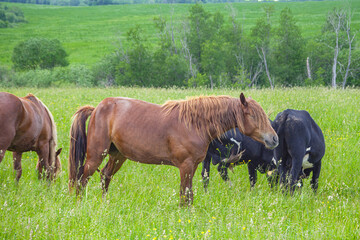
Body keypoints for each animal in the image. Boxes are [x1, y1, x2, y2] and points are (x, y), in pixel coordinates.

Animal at [68, 93, 278, 205]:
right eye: (252, 115)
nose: (274, 138)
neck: (195, 124)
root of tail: (96, 108)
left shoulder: (194, 166)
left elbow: (189, 193)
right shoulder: (185, 166)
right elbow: (184, 193)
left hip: (118, 155)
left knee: (105, 176)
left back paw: (105, 204)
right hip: (96, 154)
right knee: (81, 179)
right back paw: (80, 205)